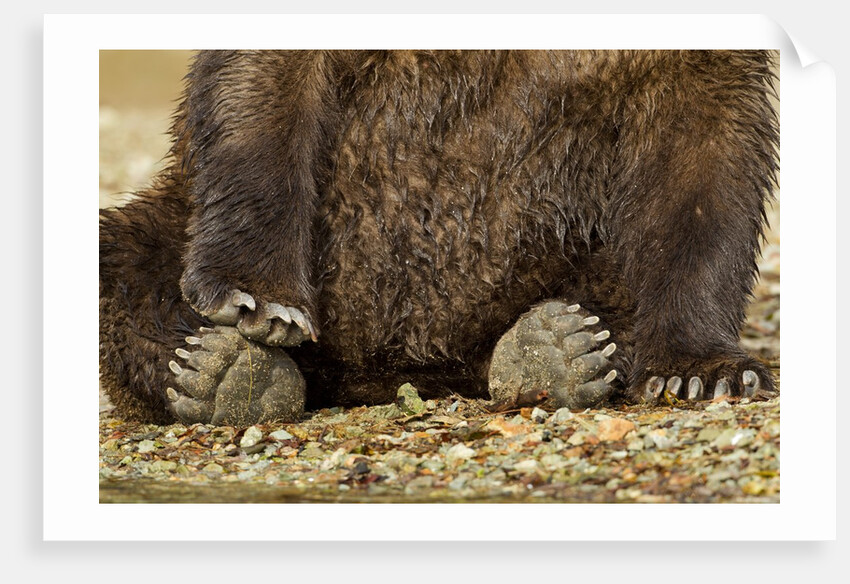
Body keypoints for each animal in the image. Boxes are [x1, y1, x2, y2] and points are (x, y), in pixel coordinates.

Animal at [99, 50, 778, 426]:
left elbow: (705, 160)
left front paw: (701, 371)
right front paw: (258, 296)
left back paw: (556, 347)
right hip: (176, 217)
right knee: (123, 260)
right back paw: (222, 373)